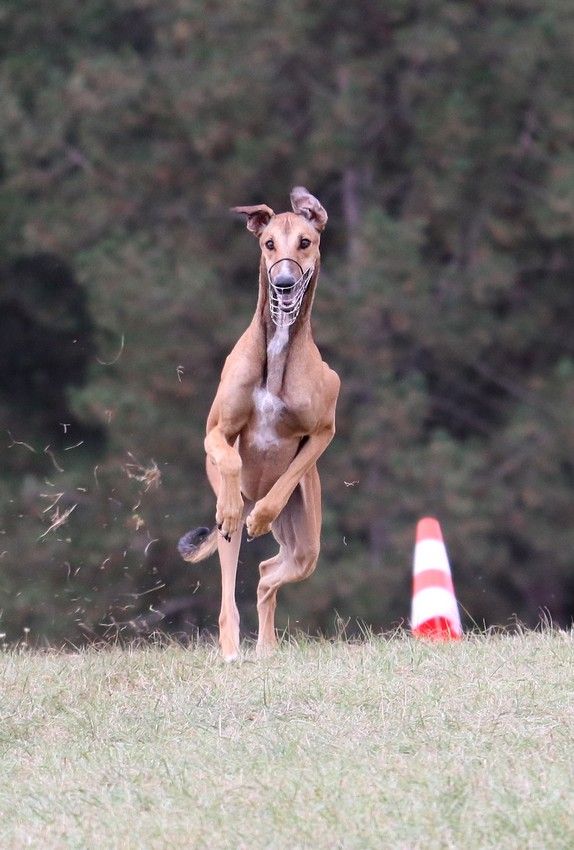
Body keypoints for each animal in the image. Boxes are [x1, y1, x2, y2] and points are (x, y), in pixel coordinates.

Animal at [180, 187, 340, 656]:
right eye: (269, 243)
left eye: (305, 241)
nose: (284, 283)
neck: (279, 348)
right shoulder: (216, 430)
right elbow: (230, 456)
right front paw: (237, 510)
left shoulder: (324, 429)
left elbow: (289, 475)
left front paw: (261, 518)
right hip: (234, 539)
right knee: (230, 595)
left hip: (305, 544)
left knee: (269, 573)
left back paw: (266, 647)